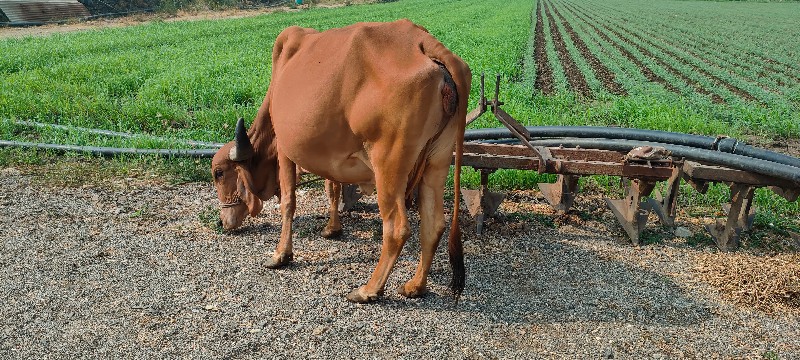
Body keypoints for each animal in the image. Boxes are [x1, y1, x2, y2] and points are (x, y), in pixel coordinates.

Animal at [211, 18, 468, 302]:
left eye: (219, 173)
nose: (223, 222)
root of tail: (422, 42)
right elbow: (332, 188)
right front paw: (332, 228)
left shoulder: (285, 152)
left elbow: (288, 202)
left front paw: (281, 254)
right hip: (438, 160)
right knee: (433, 225)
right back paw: (415, 286)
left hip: (388, 164)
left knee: (396, 228)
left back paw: (369, 289)